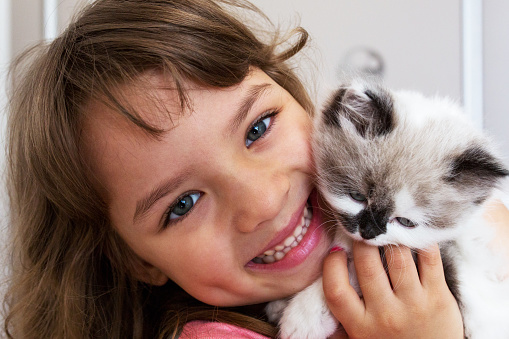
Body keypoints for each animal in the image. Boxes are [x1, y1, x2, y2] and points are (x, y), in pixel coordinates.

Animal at [266, 78, 508, 338]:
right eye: (357, 197)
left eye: (406, 222)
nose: (368, 232)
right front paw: (282, 306)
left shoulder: (449, 255)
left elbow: (347, 274)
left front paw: (302, 316)